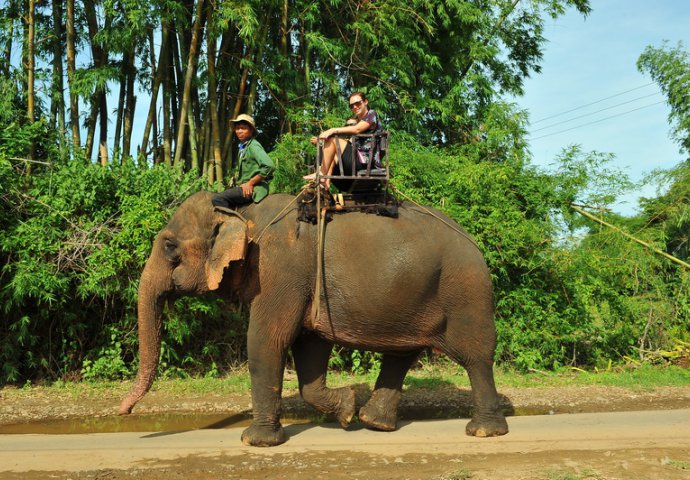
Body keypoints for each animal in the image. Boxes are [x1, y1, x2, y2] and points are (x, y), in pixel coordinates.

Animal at [117, 190, 506, 446]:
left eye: (169, 246)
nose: (123, 413)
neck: (242, 213)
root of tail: (475, 243)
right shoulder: (300, 283)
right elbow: (309, 348)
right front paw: (346, 408)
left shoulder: (278, 271)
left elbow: (266, 341)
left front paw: (255, 441)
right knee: (401, 354)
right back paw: (373, 423)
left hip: (464, 290)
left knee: (475, 356)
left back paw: (483, 432)